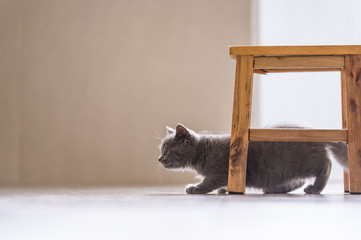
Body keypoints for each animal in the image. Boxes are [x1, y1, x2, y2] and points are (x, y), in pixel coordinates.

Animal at [157, 124, 346, 194]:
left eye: (167, 151)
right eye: (162, 151)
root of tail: (315, 131)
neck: (203, 151)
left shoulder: (221, 171)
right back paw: (274, 190)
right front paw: (224, 190)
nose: (159, 159)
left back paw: (315, 188)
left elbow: (208, 182)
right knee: (298, 181)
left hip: (303, 162)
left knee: (326, 164)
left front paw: (195, 188)